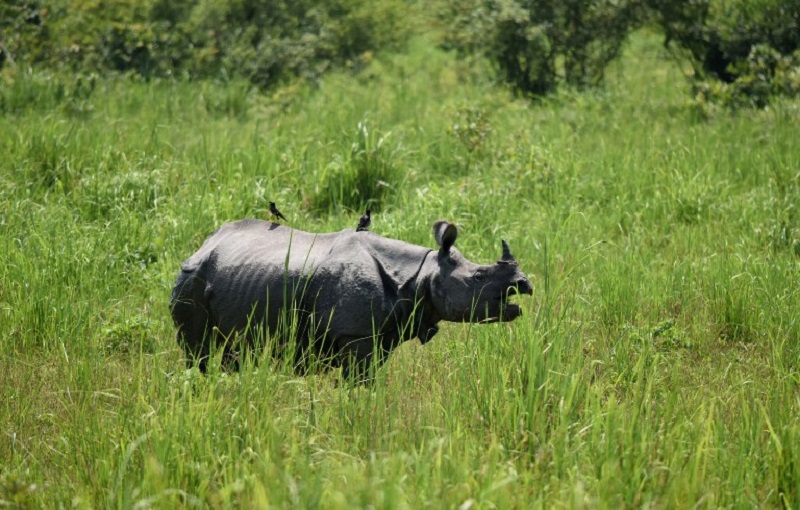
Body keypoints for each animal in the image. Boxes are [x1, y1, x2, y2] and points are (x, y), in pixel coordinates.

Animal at [170, 219, 533, 381]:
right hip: (191, 278)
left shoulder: (381, 334)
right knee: (198, 350)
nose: (524, 285)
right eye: (478, 277)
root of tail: (201, 246)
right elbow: (360, 382)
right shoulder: (356, 334)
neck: (421, 273)